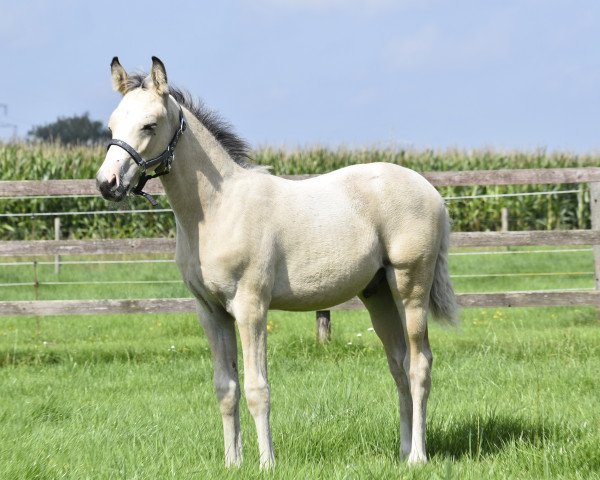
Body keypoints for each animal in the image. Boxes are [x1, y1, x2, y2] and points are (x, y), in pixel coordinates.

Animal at [96, 56, 458, 468]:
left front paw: (266, 462)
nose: (107, 183)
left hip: (410, 288)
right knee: (397, 365)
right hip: (378, 292)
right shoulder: (210, 312)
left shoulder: (251, 307)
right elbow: (226, 388)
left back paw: (417, 456)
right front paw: (232, 463)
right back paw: (402, 451)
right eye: (111, 125)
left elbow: (257, 388)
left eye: (149, 125)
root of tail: (432, 193)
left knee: (419, 364)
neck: (219, 209)